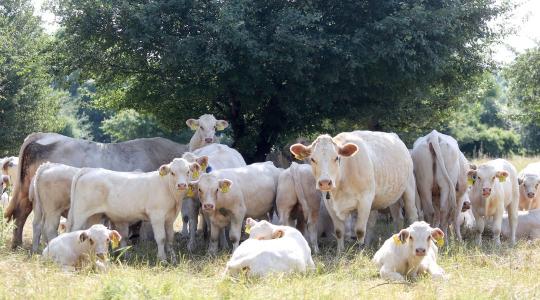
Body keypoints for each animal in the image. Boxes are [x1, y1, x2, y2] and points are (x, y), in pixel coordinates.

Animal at [4, 133, 188, 248]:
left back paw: (21, 245)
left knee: (24, 217)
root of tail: (41, 136)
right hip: (50, 206)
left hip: (30, 197)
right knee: (40, 224)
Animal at [66, 158, 201, 262]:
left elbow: (170, 238)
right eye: (172, 172)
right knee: (74, 231)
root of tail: (89, 170)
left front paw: (173, 259)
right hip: (80, 213)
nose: (182, 185)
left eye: (188, 171)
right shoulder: (157, 216)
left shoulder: (169, 218)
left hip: (95, 215)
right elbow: (161, 238)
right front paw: (162, 259)